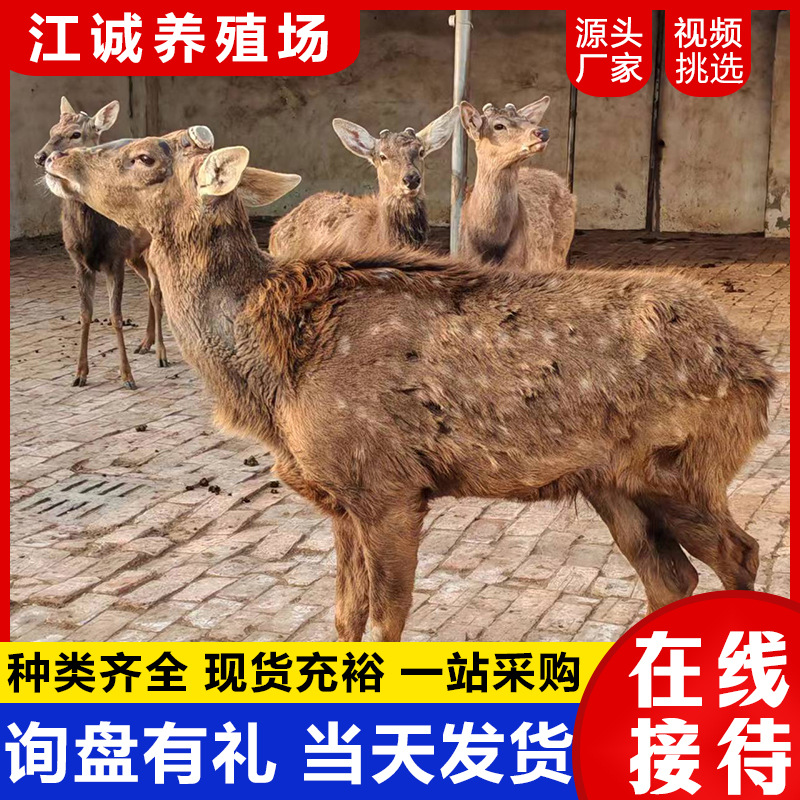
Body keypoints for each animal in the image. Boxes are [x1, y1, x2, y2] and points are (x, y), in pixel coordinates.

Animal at [44, 130, 774, 643]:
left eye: (143, 156)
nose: (54, 154)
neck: (271, 382)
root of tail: (758, 371)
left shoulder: (389, 486)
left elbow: (387, 623)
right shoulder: (340, 501)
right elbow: (344, 618)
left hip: (682, 466)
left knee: (739, 553)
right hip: (611, 482)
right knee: (672, 575)